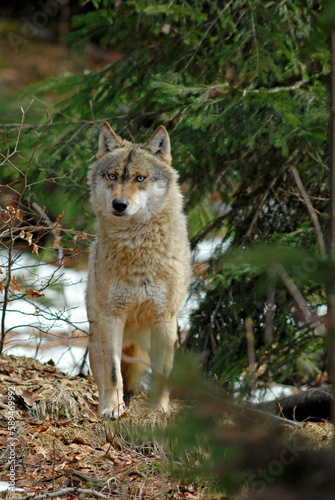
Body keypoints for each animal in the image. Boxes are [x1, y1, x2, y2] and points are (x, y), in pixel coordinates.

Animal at [86, 122, 192, 418]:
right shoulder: (112, 317)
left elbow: (162, 374)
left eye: (140, 178)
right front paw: (113, 409)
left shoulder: (165, 320)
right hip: (96, 338)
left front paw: (158, 413)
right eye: (112, 176)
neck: (137, 250)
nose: (119, 205)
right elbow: (113, 372)